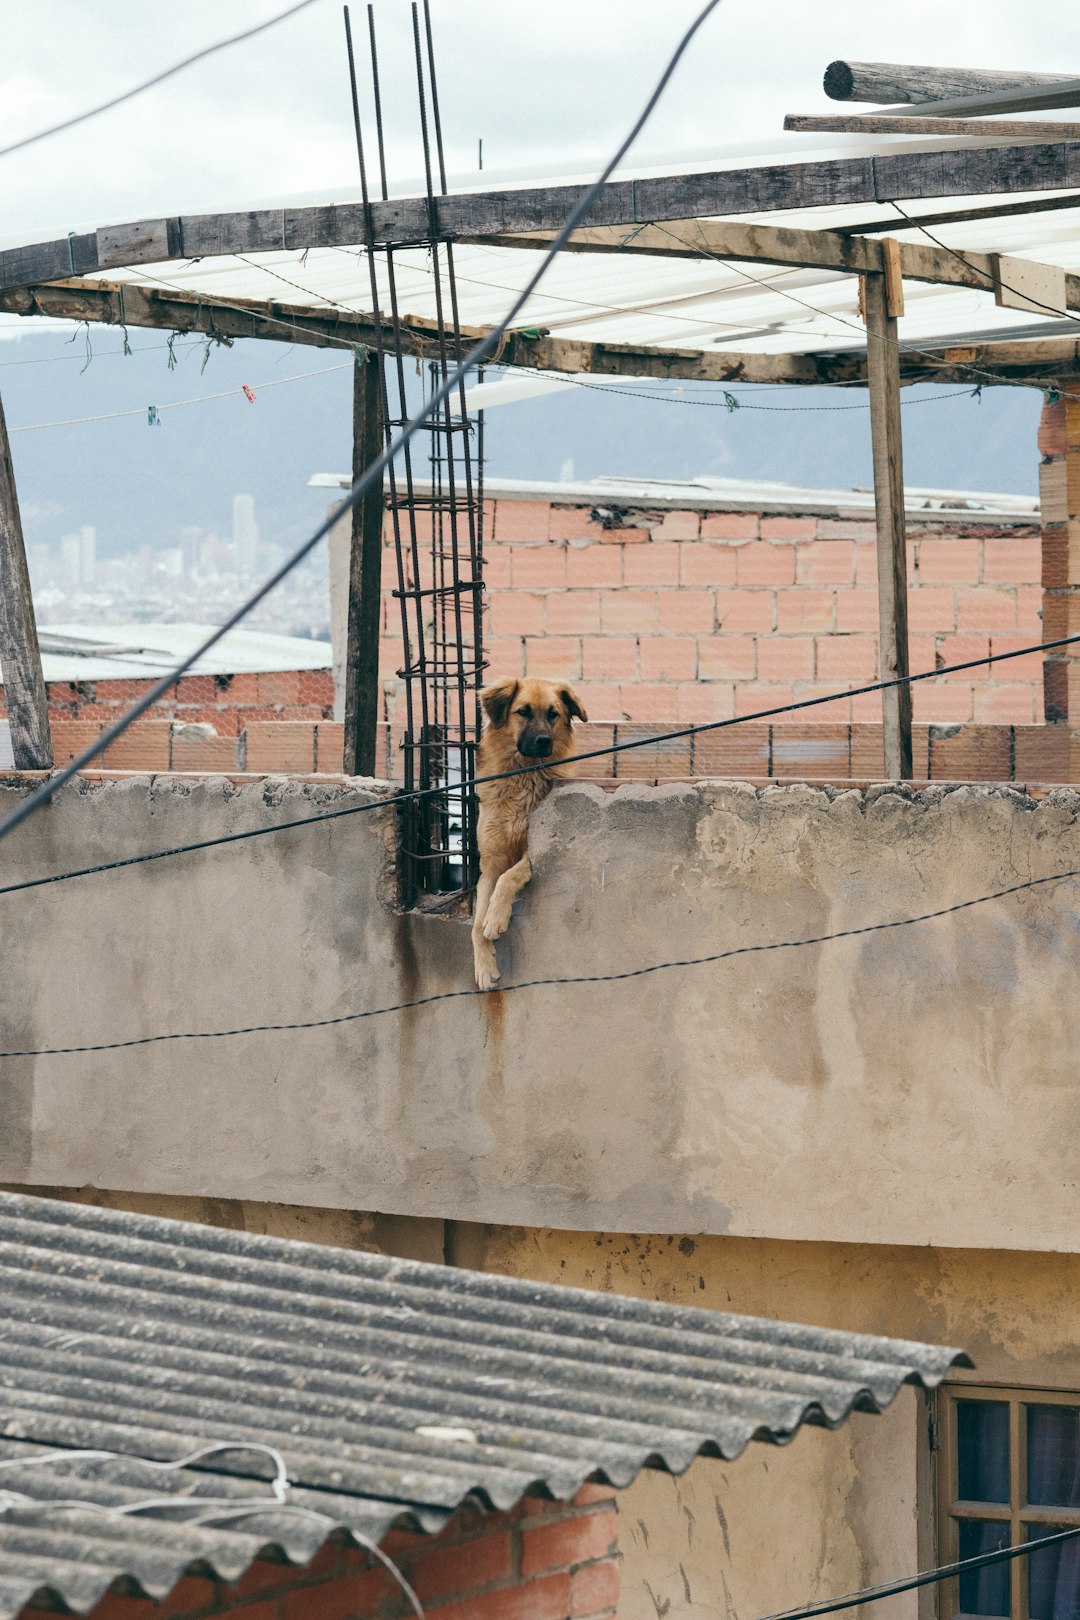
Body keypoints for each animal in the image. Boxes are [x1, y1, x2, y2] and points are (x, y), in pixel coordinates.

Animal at [476, 670, 592, 984]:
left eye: (553, 714)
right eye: (523, 712)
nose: (543, 741)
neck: (523, 775)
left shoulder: (532, 852)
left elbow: (508, 878)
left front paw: (496, 917)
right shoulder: (490, 862)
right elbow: (476, 923)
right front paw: (484, 965)